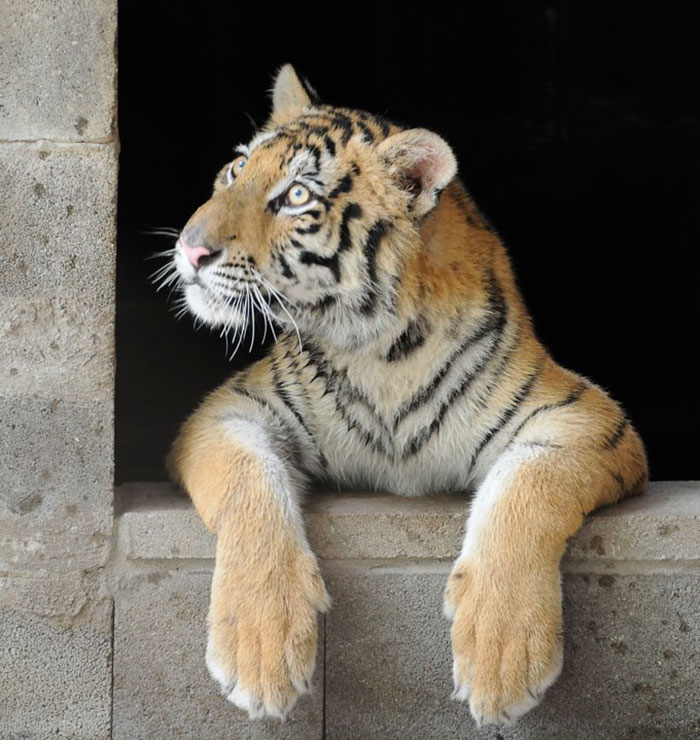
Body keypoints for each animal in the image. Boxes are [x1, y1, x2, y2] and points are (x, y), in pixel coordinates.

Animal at [164, 64, 648, 726]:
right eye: (236, 169)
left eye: (297, 197)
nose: (190, 249)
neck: (379, 352)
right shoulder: (229, 410)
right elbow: (246, 478)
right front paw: (258, 649)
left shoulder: (586, 416)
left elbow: (530, 483)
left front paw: (502, 651)